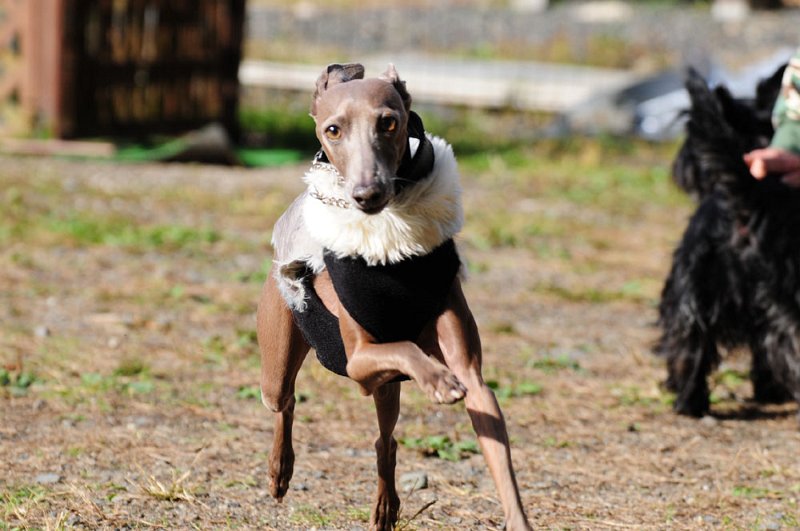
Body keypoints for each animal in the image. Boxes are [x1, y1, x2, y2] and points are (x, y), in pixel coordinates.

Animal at [256, 63, 532, 530]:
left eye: (389, 122)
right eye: (332, 130)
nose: (367, 194)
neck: (392, 254)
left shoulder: (474, 379)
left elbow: (498, 453)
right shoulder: (358, 361)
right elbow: (403, 347)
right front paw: (438, 379)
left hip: (385, 392)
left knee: (385, 441)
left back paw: (386, 506)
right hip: (279, 349)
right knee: (285, 403)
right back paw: (280, 471)